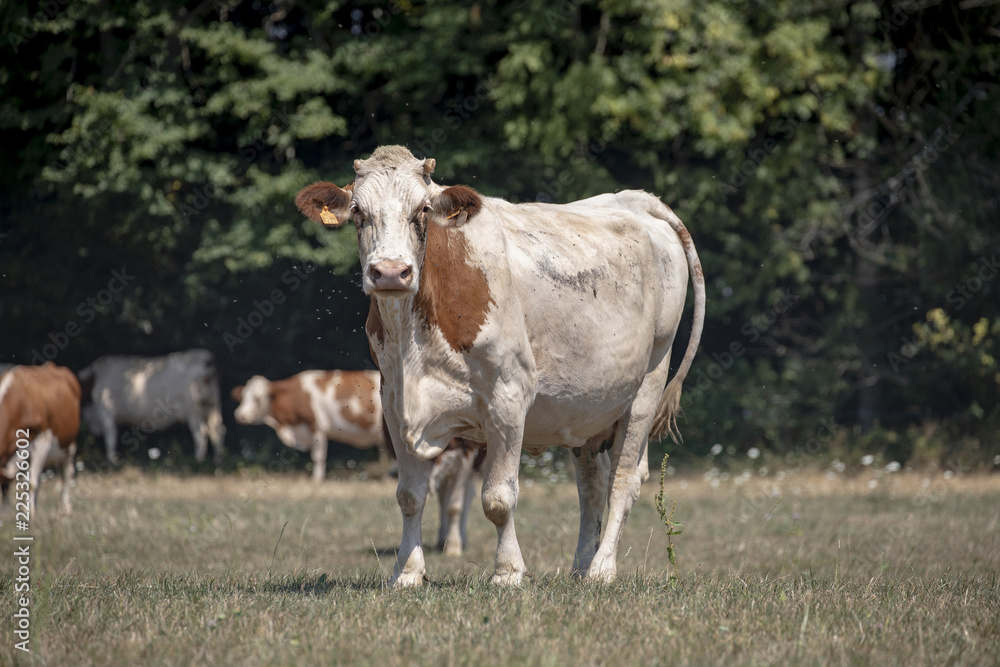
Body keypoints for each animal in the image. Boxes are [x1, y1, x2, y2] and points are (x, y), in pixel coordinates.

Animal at [0, 362, 81, 516]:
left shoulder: (42, 440)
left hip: (69, 444)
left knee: (67, 472)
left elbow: (31, 483)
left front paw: (30, 513)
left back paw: (65, 507)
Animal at [78, 350, 227, 464]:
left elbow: (111, 437)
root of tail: (206, 358)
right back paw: (218, 462)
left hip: (193, 409)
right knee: (217, 431)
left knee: (200, 434)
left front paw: (110, 460)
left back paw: (198, 460)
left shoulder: (105, 410)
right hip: (212, 406)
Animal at [232, 368, 388, 482]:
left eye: (257, 399)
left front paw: (317, 479)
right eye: (242, 398)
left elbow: (318, 456)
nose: (240, 415)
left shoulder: (316, 427)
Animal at [292, 147, 708, 588]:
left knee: (624, 481)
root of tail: (637, 200)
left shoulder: (508, 398)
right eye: (358, 211)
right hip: (585, 409)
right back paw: (580, 567)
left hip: (648, 384)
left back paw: (601, 569)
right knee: (592, 486)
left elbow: (497, 498)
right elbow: (410, 496)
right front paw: (407, 573)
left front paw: (507, 572)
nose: (390, 272)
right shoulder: (394, 402)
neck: (415, 338)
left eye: (423, 209)